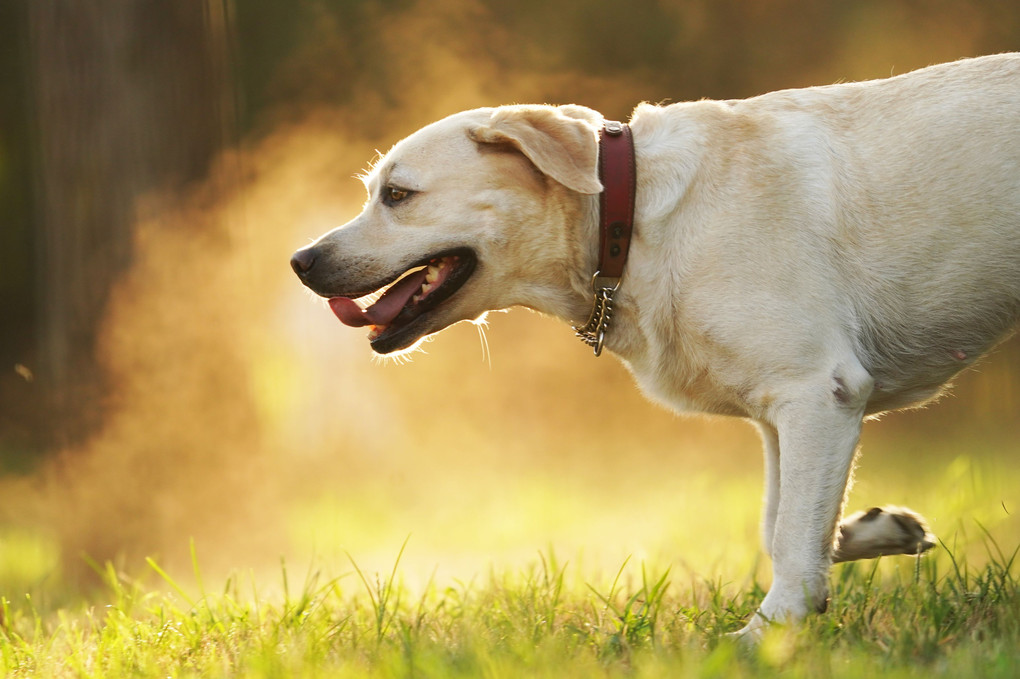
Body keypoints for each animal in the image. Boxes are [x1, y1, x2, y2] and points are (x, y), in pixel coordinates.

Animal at [291, 54, 1015, 636]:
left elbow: (787, 537)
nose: (300, 261)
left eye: (397, 195)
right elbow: (782, 521)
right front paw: (872, 531)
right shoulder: (787, 413)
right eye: (375, 192)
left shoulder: (817, 391)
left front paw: (764, 636)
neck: (629, 218)